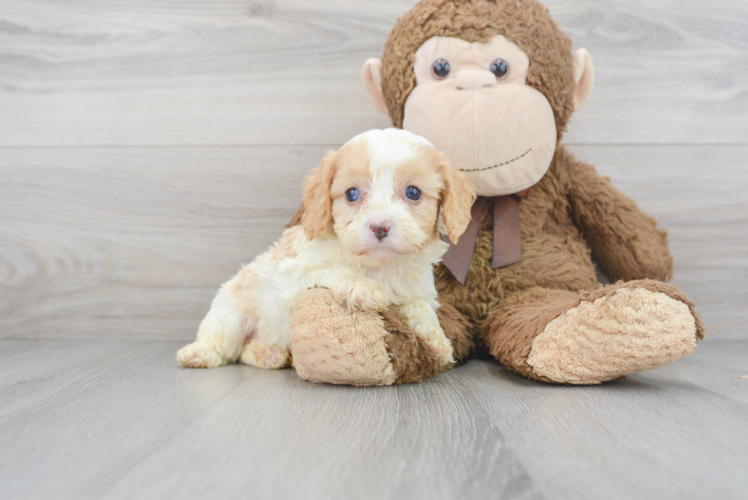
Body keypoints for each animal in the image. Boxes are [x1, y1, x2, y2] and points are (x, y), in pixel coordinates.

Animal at [175, 128, 474, 372]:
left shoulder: (416, 289)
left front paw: (436, 339)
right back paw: (200, 353)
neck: (376, 267)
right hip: (231, 313)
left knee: (246, 353)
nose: (379, 227)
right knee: (224, 346)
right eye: (352, 194)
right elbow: (330, 269)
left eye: (413, 192)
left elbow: (421, 307)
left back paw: (268, 355)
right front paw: (360, 287)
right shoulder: (293, 276)